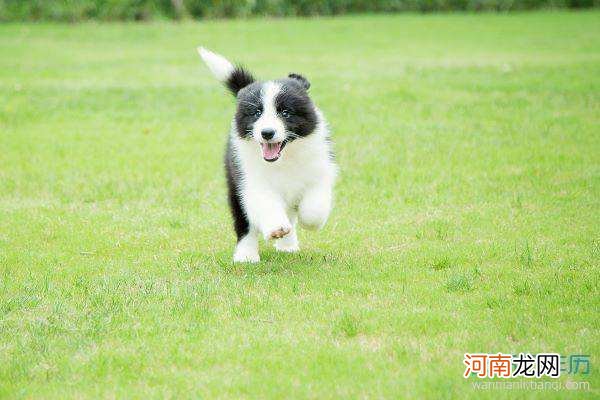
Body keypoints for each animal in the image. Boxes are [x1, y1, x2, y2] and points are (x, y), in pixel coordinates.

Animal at [198, 47, 336, 262]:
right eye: (256, 113)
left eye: (285, 113)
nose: (267, 132)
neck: (283, 160)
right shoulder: (251, 180)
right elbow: (266, 204)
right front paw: (277, 228)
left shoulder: (319, 169)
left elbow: (315, 206)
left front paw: (310, 222)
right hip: (234, 185)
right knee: (245, 223)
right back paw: (246, 255)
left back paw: (288, 246)